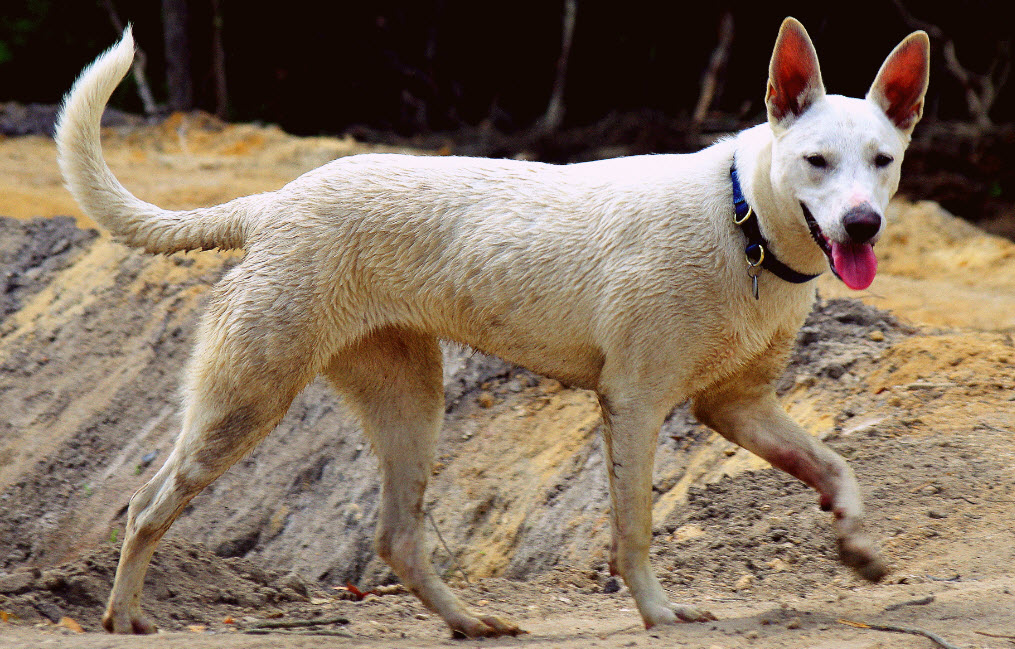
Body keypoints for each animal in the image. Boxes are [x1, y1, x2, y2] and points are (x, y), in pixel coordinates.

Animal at [53, 17, 929, 637]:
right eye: (815, 161)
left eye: (882, 161)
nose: (861, 225)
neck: (740, 218)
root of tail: (272, 204)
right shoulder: (635, 403)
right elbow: (635, 528)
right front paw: (658, 614)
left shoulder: (738, 406)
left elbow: (836, 465)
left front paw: (857, 547)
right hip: (247, 399)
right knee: (145, 505)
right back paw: (124, 615)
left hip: (409, 398)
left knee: (397, 539)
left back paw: (469, 621)